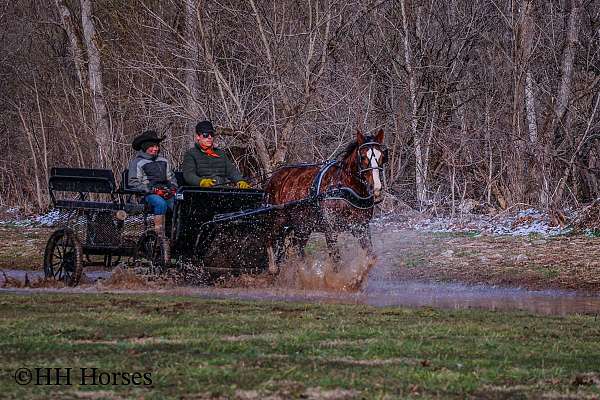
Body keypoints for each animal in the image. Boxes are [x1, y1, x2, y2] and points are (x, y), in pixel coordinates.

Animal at [264, 128, 386, 272]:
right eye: (362, 157)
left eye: (382, 156)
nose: (376, 188)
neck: (344, 188)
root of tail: (274, 176)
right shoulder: (331, 230)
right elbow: (336, 261)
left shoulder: (361, 227)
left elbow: (370, 256)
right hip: (279, 220)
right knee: (270, 240)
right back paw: (273, 267)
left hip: (302, 226)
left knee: (297, 249)